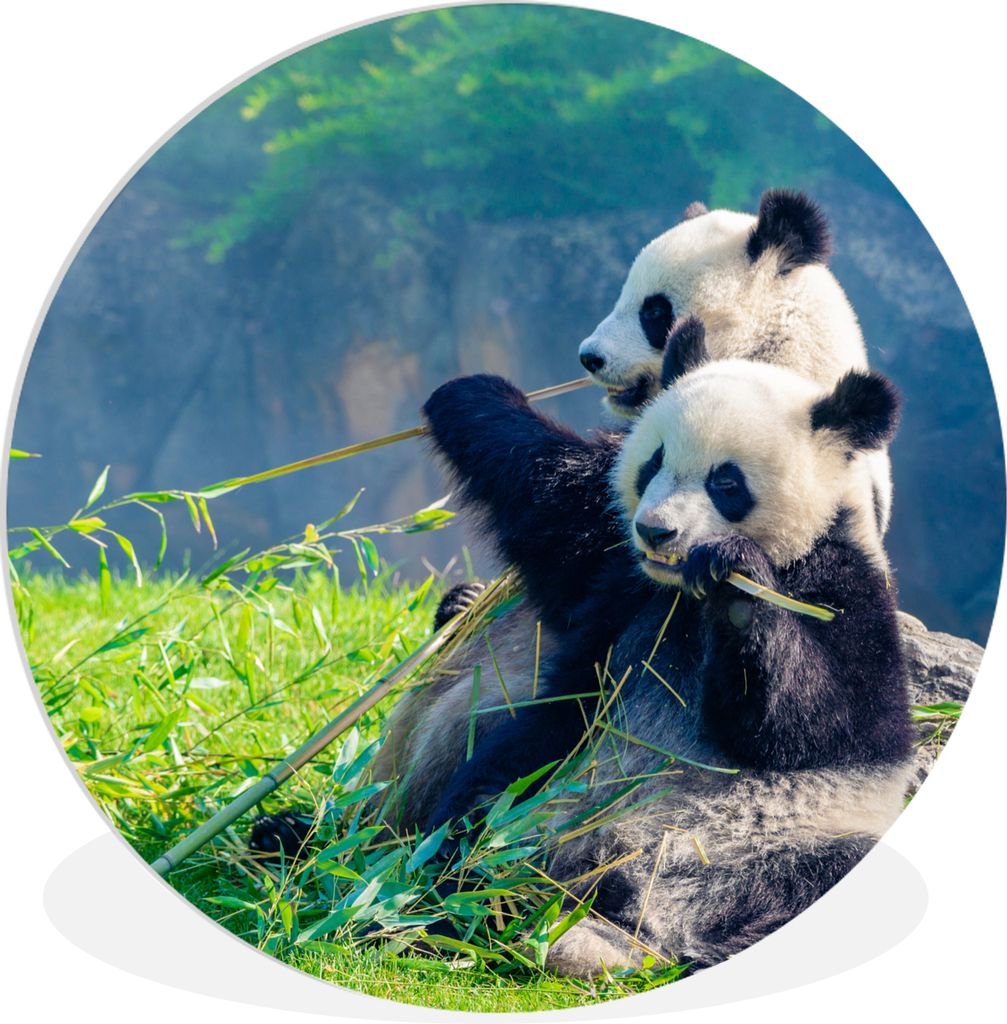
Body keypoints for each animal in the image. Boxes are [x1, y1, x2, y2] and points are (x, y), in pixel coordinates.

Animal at [417, 333, 912, 976]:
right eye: (653, 461)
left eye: (726, 482)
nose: (655, 532)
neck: (683, 595)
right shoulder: (622, 588)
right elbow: (553, 512)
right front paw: (471, 394)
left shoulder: (843, 585)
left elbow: (821, 723)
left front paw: (735, 582)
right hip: (546, 790)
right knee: (481, 807)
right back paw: (448, 903)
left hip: (784, 842)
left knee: (831, 874)